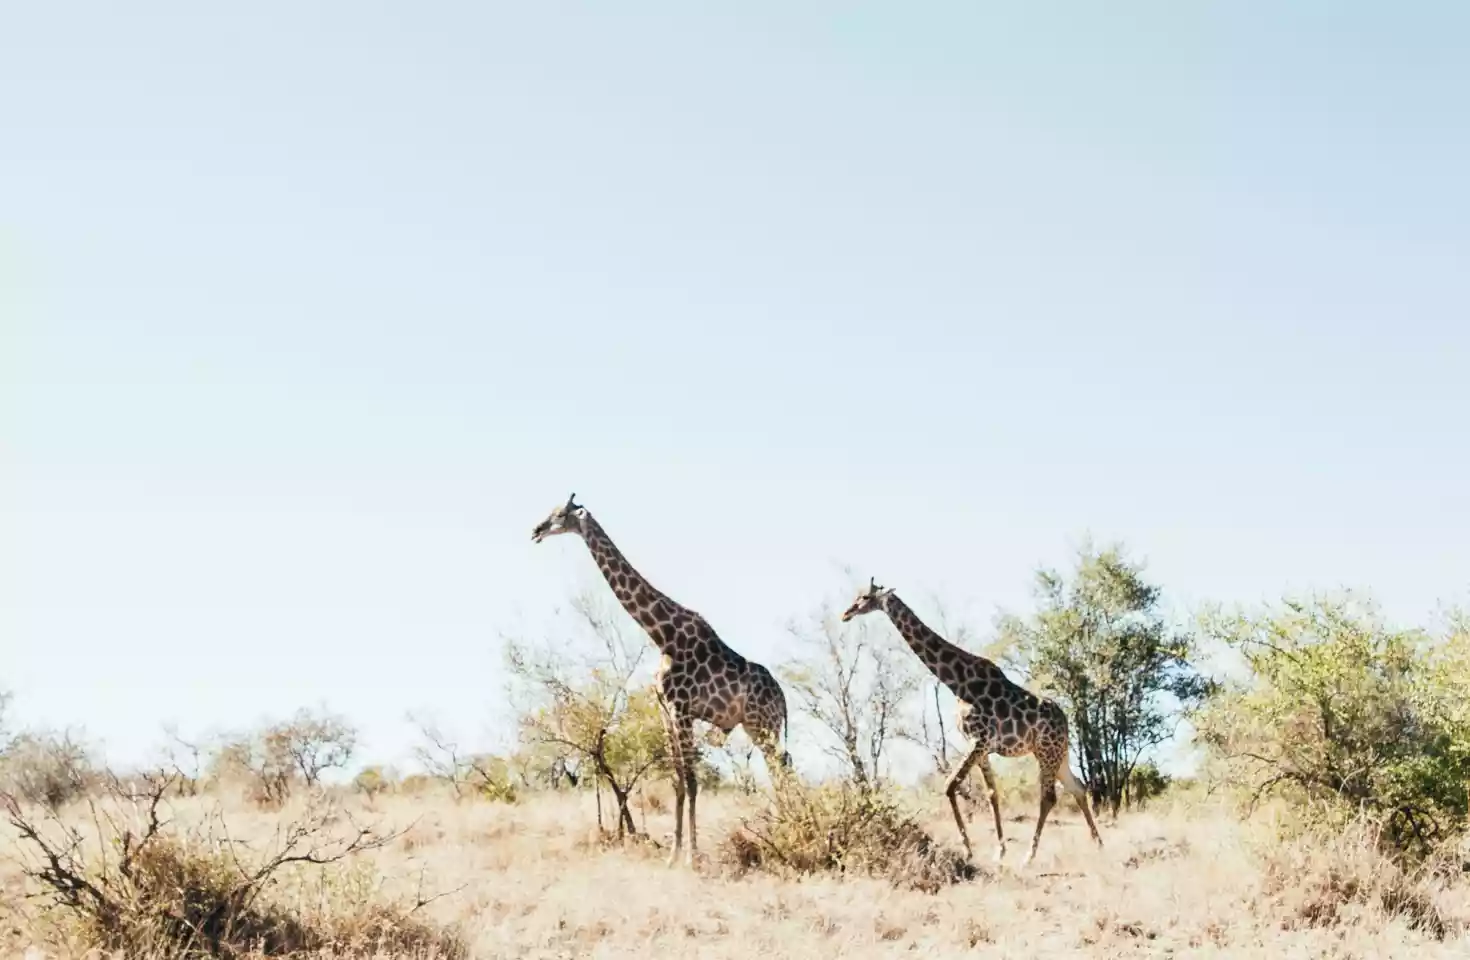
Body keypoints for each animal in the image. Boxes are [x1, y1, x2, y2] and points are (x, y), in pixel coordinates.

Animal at [526, 491, 782, 864]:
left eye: (560, 514)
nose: (536, 530)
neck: (663, 635)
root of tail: (784, 699)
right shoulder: (665, 709)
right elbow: (678, 780)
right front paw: (673, 854)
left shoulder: (681, 709)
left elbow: (692, 779)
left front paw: (691, 856)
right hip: (755, 726)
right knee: (780, 768)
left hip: (765, 724)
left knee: (782, 767)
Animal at [840, 579, 1105, 864]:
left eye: (865, 597)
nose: (846, 613)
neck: (958, 682)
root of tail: (1065, 721)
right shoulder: (982, 747)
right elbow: (992, 794)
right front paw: (999, 851)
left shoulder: (980, 740)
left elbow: (950, 785)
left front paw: (968, 850)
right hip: (1057, 753)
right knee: (1078, 788)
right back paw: (1098, 844)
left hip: (1047, 751)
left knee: (1049, 797)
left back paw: (1029, 856)